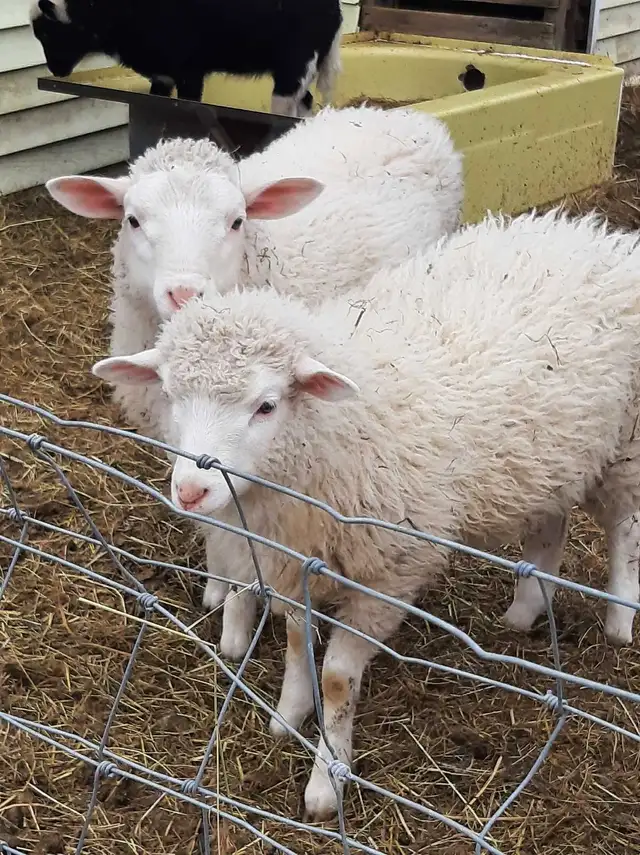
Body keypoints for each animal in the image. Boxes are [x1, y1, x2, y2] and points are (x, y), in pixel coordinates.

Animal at [30, 0, 342, 115]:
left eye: (47, 33)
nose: (56, 71)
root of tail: (335, 12)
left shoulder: (189, 70)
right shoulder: (163, 73)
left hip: (295, 66)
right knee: (305, 106)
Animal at [91, 207, 640, 820]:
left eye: (266, 405)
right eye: (171, 395)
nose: (190, 490)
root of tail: (598, 234)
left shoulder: (388, 578)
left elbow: (336, 679)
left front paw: (326, 782)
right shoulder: (292, 560)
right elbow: (294, 642)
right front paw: (288, 715)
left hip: (625, 448)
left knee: (624, 529)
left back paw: (620, 617)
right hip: (548, 461)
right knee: (550, 526)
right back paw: (524, 611)